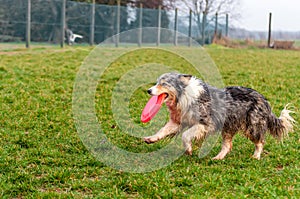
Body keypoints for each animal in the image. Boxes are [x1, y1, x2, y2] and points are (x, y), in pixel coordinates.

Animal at [144, 72, 296, 159]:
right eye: (156, 83)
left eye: (164, 83)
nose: (148, 90)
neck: (183, 96)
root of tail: (265, 100)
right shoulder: (177, 121)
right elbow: (162, 130)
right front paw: (151, 138)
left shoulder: (204, 123)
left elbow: (185, 135)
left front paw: (188, 149)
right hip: (228, 127)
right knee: (227, 146)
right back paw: (218, 158)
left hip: (252, 126)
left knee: (260, 142)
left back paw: (256, 156)